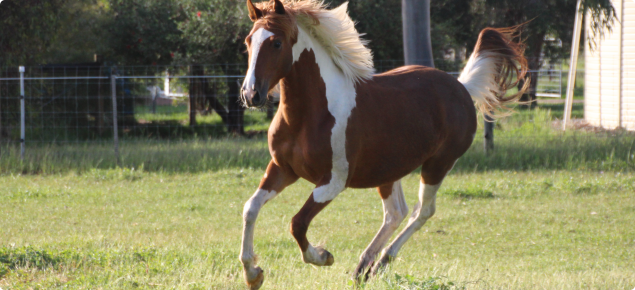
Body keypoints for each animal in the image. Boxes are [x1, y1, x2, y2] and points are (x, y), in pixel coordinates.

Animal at [237, 0, 528, 288]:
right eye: (248, 41)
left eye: (276, 43)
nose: (251, 94)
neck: (310, 115)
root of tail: (462, 87)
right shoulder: (282, 169)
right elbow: (250, 208)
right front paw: (253, 274)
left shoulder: (333, 181)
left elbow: (297, 223)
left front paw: (323, 256)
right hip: (389, 170)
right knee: (396, 213)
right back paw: (364, 268)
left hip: (438, 165)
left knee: (423, 211)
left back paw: (381, 262)